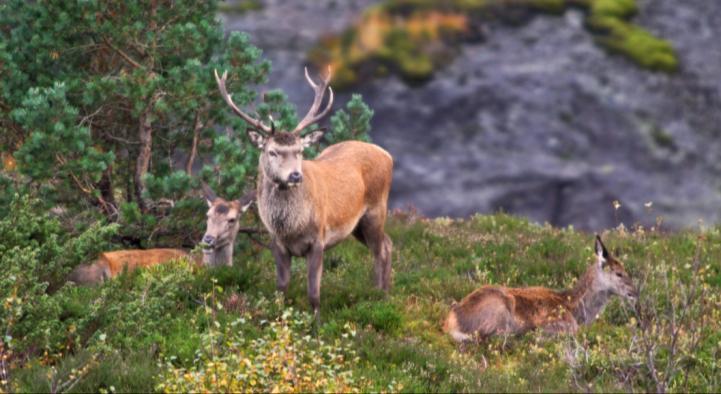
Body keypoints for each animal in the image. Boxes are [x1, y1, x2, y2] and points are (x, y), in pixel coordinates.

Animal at [214, 67, 394, 320]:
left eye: (299, 151)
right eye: (272, 152)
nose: (295, 175)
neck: (291, 227)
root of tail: (388, 155)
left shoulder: (318, 239)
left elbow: (313, 292)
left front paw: (317, 323)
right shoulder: (277, 243)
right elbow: (281, 288)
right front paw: (278, 318)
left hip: (376, 210)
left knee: (380, 250)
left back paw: (379, 297)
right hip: (357, 225)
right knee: (387, 243)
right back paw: (383, 292)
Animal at [442, 235, 640, 344]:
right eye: (619, 273)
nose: (635, 292)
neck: (575, 309)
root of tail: (451, 322)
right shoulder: (559, 324)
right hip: (497, 311)